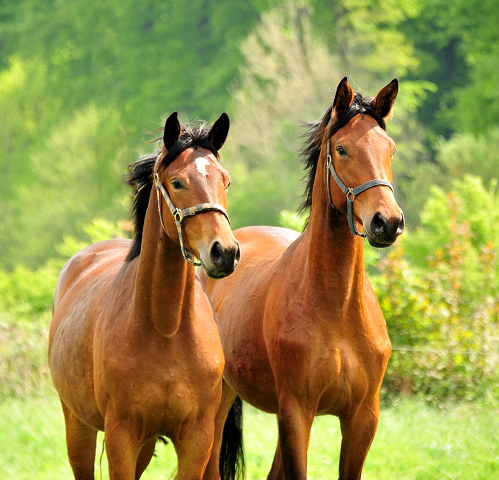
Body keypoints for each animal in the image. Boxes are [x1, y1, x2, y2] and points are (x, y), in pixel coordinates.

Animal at [48, 110, 240, 478]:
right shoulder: (121, 437)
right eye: (178, 182)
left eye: (225, 181)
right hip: (77, 425)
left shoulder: (197, 439)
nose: (224, 252)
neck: (165, 329)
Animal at [199, 79, 406, 480]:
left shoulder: (362, 418)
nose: (386, 222)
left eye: (389, 148)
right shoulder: (297, 412)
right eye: (342, 149)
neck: (337, 307)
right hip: (217, 407)